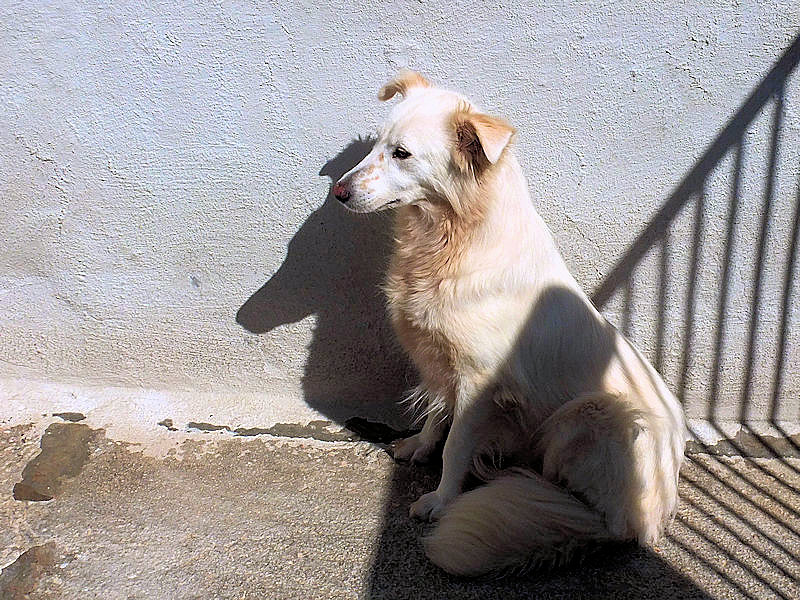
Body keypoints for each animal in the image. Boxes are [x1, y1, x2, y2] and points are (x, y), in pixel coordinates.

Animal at [333, 70, 686, 576]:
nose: (338, 192)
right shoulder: (442, 362)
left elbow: (457, 442)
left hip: (596, 413)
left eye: (402, 153)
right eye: (378, 143)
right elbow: (436, 414)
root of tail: (646, 519)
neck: (451, 240)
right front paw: (420, 446)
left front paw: (440, 500)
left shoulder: (479, 382)